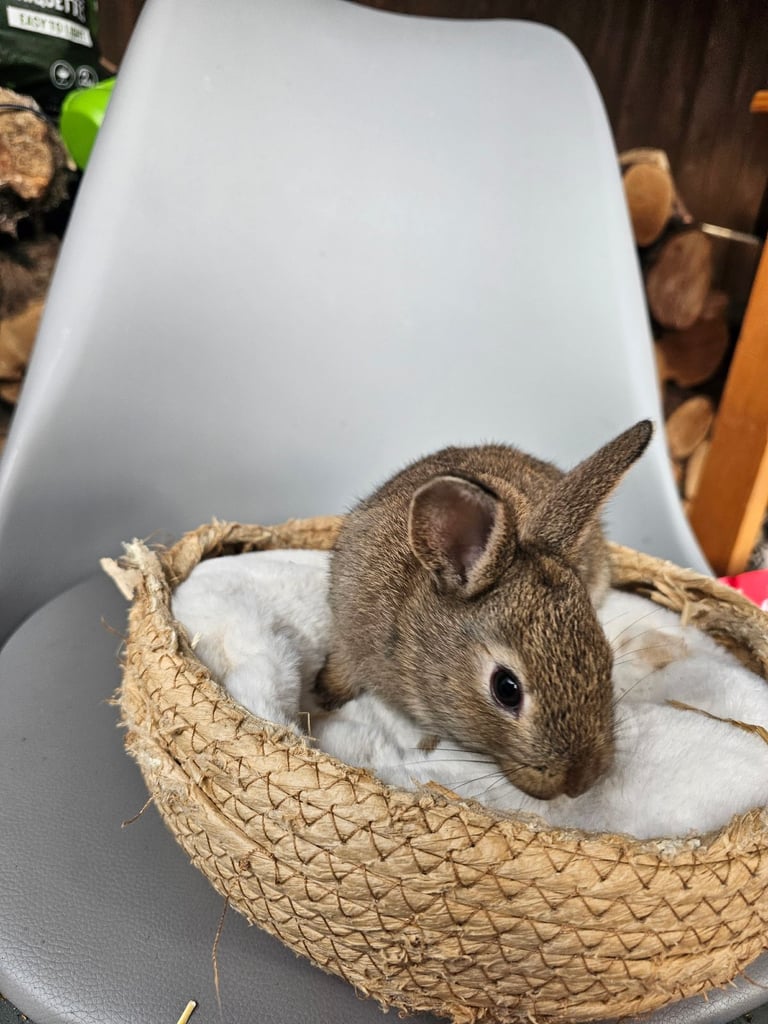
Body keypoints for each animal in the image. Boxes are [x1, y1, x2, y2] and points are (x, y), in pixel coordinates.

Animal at [316, 420, 654, 801]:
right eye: (506, 689)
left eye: (606, 659)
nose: (582, 781)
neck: (411, 635)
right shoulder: (347, 631)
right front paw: (324, 695)